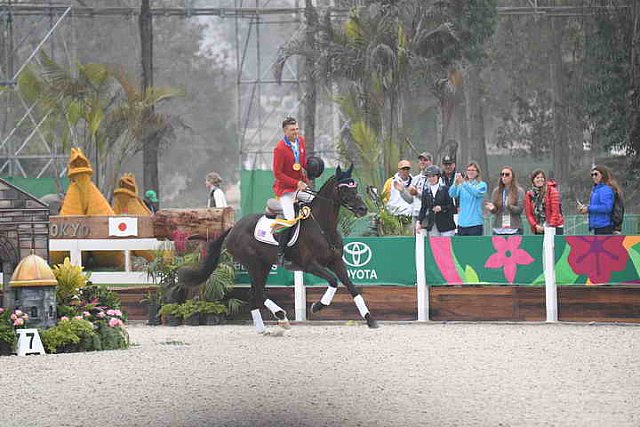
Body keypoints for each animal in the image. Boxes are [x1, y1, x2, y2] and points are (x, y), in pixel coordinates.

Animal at [178, 166, 378, 332]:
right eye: (344, 188)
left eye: (355, 187)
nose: (362, 209)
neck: (323, 228)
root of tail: (234, 227)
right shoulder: (310, 265)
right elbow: (333, 281)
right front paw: (317, 306)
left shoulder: (335, 261)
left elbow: (352, 288)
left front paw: (370, 319)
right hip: (253, 264)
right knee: (258, 293)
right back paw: (277, 317)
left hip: (263, 265)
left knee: (255, 294)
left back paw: (268, 325)